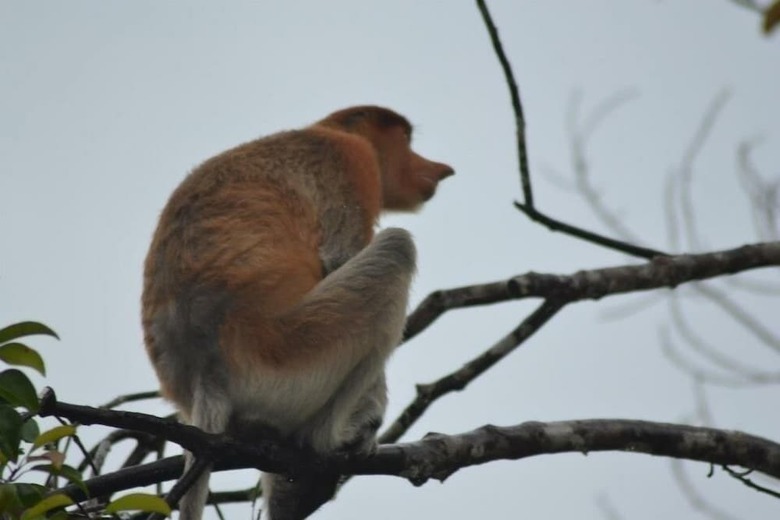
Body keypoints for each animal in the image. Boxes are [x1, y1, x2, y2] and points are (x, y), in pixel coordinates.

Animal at [142, 106, 453, 520]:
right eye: (405, 139)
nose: (437, 169)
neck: (323, 130)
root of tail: (206, 377)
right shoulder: (351, 160)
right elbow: (340, 257)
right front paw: (366, 420)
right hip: (289, 354)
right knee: (396, 248)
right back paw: (333, 441)